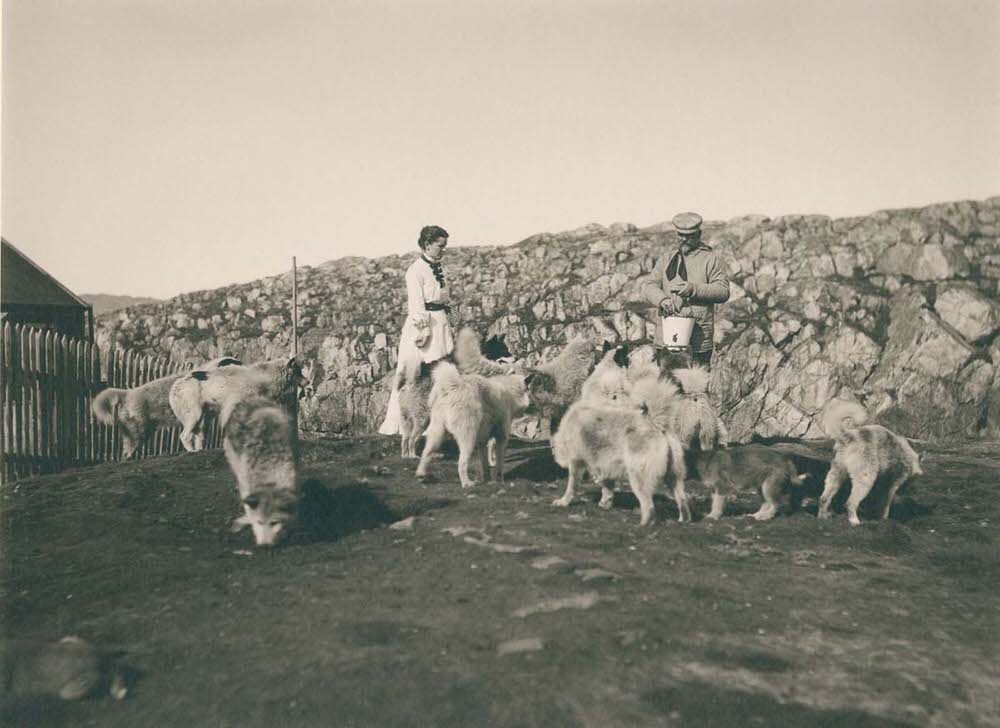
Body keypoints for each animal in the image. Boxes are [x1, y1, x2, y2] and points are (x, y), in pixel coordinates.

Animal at [93, 352, 242, 456]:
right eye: (233, 364)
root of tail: (128, 394)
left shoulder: (204, 421)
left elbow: (201, 437)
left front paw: (200, 449)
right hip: (140, 432)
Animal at [170, 356, 302, 452]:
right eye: (299, 372)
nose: (307, 382)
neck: (263, 377)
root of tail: (176, 384)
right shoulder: (232, 406)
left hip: (204, 417)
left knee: (200, 436)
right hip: (194, 414)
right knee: (184, 436)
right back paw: (191, 451)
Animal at [552, 376, 692, 524]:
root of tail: (655, 423)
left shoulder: (576, 463)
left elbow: (571, 486)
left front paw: (564, 502)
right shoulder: (605, 465)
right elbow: (607, 487)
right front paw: (605, 503)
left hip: (638, 477)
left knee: (649, 506)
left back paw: (643, 525)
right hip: (674, 477)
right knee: (682, 501)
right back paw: (683, 520)